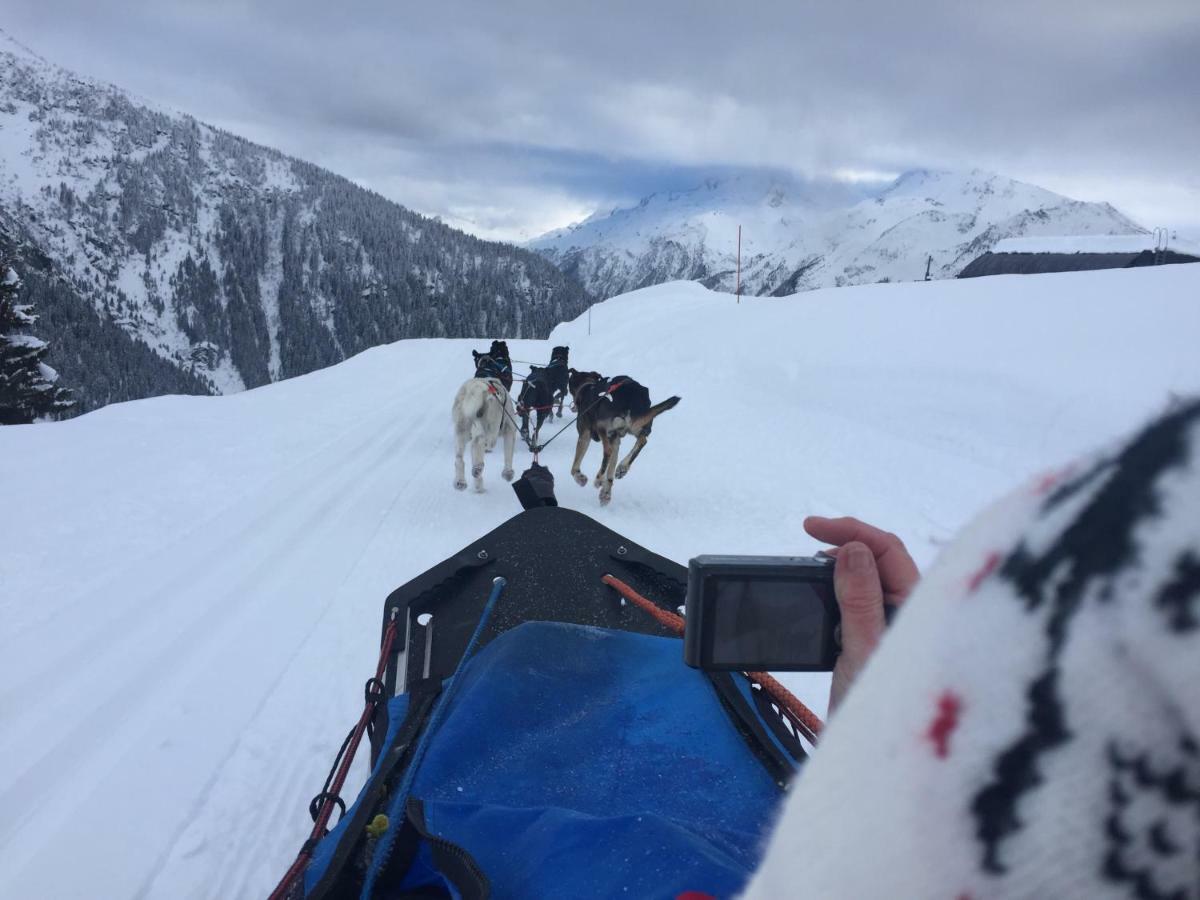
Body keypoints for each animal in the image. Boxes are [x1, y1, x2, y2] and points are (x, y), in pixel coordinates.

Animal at [566, 367, 681, 508]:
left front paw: (581, 478)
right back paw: (622, 468)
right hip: (637, 426)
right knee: (642, 440)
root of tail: (630, 395)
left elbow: (574, 467)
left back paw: (599, 478)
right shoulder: (616, 439)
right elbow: (611, 470)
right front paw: (606, 493)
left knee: (608, 451)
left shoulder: (585, 435)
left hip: (603, 427)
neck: (587, 387)